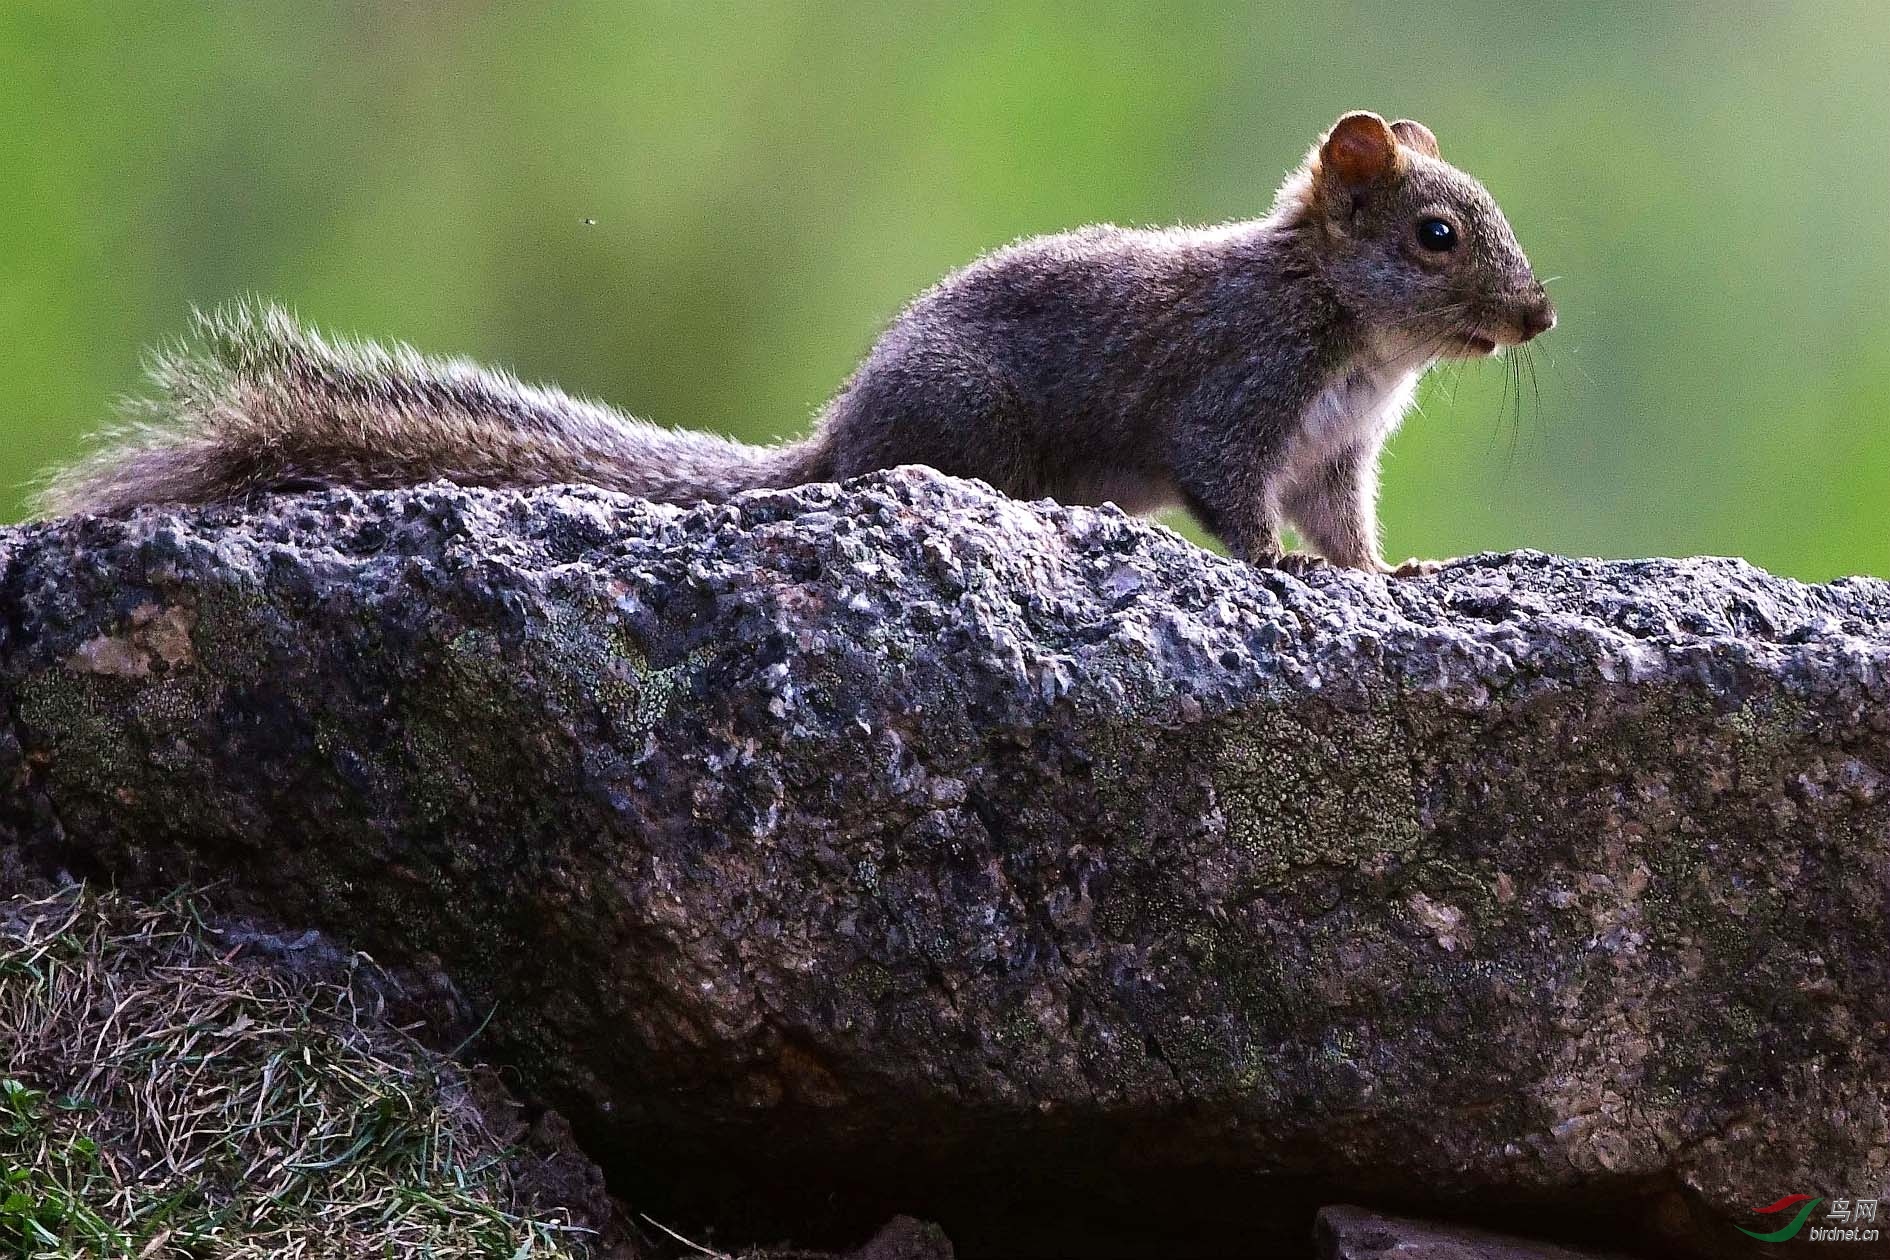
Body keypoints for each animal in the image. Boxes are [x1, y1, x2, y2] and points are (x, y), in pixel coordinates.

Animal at [44, 113, 1549, 578]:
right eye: (1436, 234)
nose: (1538, 317)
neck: (1354, 335)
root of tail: (835, 441)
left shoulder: (1335, 454)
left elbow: (1345, 525)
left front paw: (1382, 578)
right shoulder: (1237, 392)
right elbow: (1231, 493)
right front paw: (1281, 573)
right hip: (974, 426)